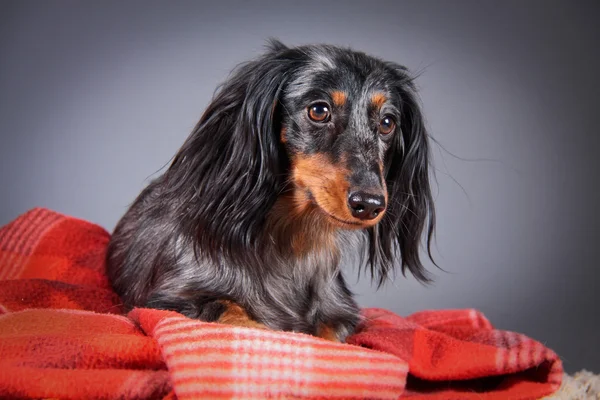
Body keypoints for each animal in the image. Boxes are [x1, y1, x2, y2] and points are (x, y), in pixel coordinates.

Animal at [106, 39, 436, 340]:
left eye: (387, 122)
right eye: (319, 110)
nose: (368, 204)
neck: (292, 244)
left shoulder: (339, 313)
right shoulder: (167, 301)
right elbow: (233, 310)